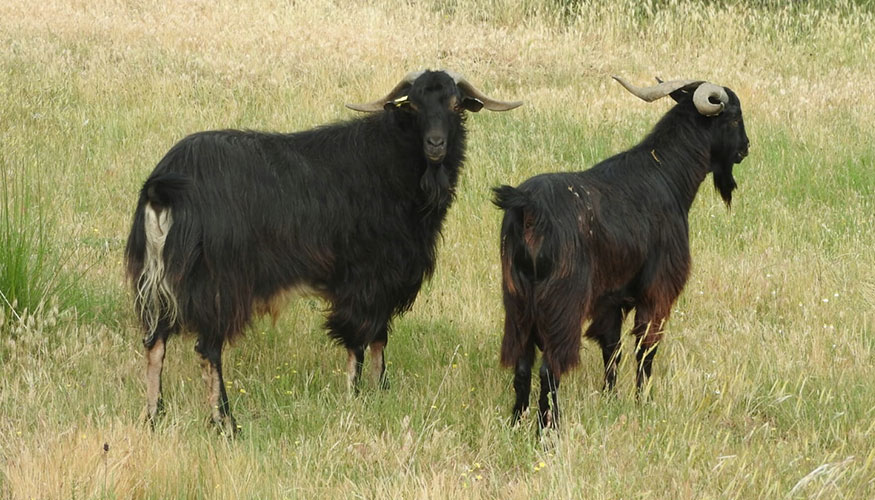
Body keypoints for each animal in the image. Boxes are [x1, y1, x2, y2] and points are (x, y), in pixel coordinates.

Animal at [125, 70, 522, 434]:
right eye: (414, 105)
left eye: (455, 105)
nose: (436, 144)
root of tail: (163, 187)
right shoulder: (366, 278)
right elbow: (359, 340)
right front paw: (355, 395)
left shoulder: (385, 282)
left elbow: (379, 338)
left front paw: (381, 391)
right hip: (217, 284)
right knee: (208, 349)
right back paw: (225, 422)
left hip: (159, 280)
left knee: (155, 343)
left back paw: (154, 416)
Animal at [493, 76, 749, 429]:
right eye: (735, 117)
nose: (745, 148)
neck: (666, 174)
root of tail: (527, 207)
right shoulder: (657, 290)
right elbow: (645, 349)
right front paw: (644, 401)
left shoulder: (610, 300)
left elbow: (611, 349)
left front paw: (611, 399)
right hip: (563, 304)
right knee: (550, 368)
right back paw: (549, 428)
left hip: (517, 302)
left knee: (521, 365)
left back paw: (517, 422)